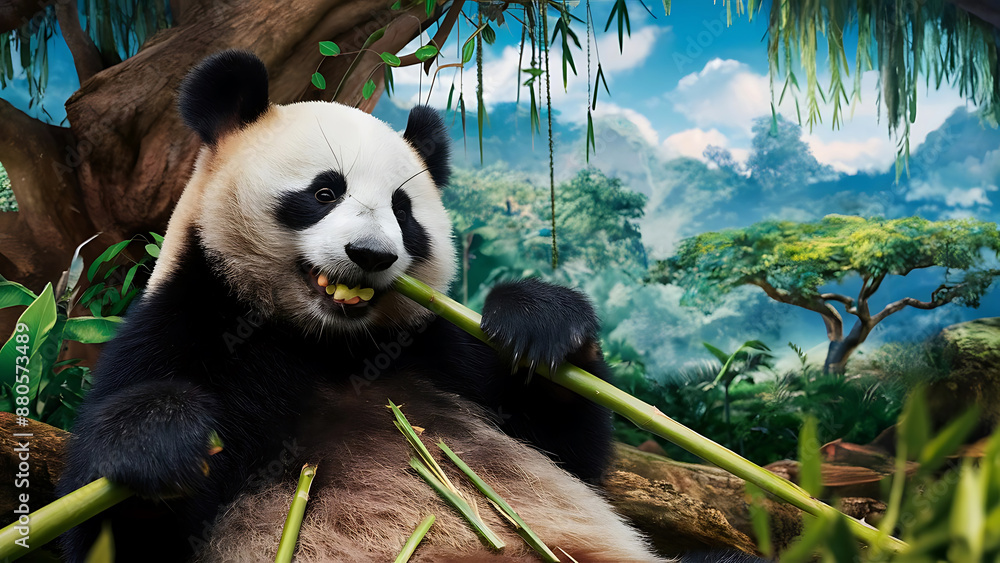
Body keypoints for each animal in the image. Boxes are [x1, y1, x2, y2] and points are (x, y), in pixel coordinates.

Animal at [56, 50, 666, 562]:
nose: (371, 254)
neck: (328, 343)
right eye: (325, 192)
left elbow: (573, 452)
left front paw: (539, 323)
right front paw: (158, 442)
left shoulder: (437, 347)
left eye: (402, 210)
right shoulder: (189, 324)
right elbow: (117, 530)